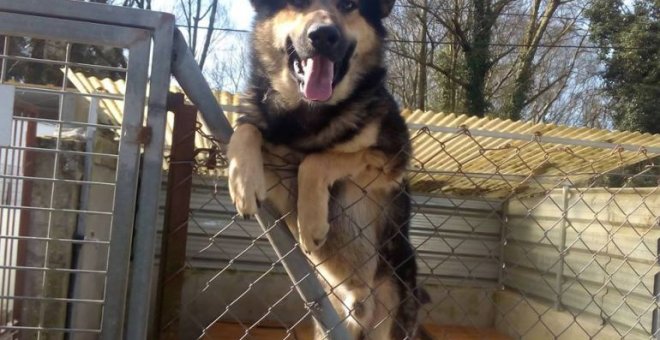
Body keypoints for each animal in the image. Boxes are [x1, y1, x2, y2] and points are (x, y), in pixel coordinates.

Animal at [226, 0, 428, 338]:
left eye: (350, 5)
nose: (323, 36)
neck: (309, 115)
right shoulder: (276, 173)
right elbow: (246, 129)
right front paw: (243, 182)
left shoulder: (390, 158)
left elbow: (317, 160)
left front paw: (311, 225)